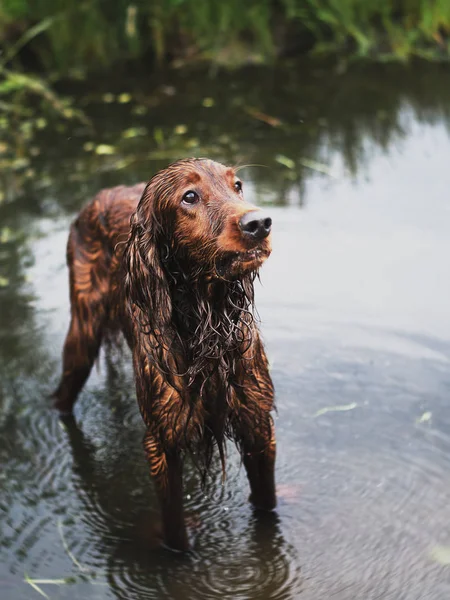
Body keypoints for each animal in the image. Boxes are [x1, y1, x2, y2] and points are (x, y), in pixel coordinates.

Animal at [54, 157, 276, 552]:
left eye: (237, 185)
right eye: (189, 196)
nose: (260, 223)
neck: (205, 327)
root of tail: (98, 196)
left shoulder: (258, 422)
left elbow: (268, 505)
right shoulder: (162, 440)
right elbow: (175, 530)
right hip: (82, 337)